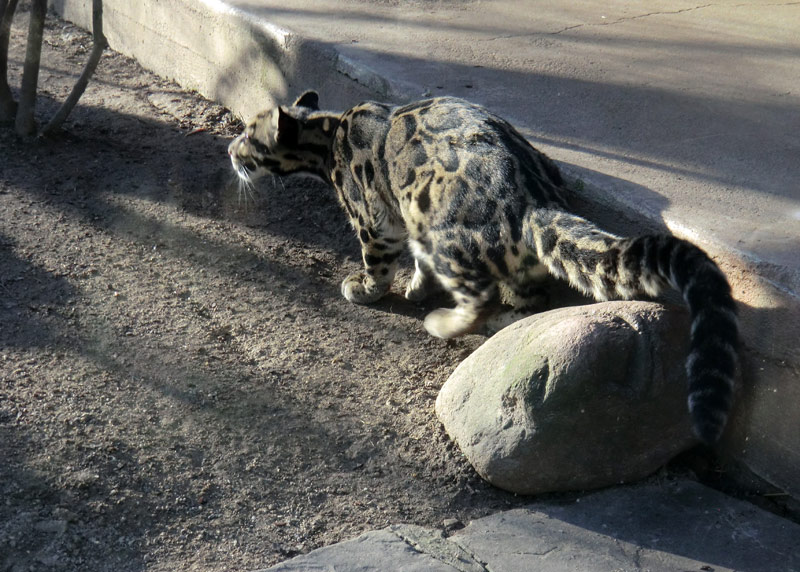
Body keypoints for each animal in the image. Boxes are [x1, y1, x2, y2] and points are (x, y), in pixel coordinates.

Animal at [227, 91, 736, 444]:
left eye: (249, 135)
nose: (231, 150)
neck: (328, 139)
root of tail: (533, 201)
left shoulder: (376, 222)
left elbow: (378, 263)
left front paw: (366, 287)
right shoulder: (404, 221)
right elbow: (417, 264)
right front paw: (416, 286)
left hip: (443, 234)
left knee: (482, 296)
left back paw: (447, 322)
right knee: (531, 295)